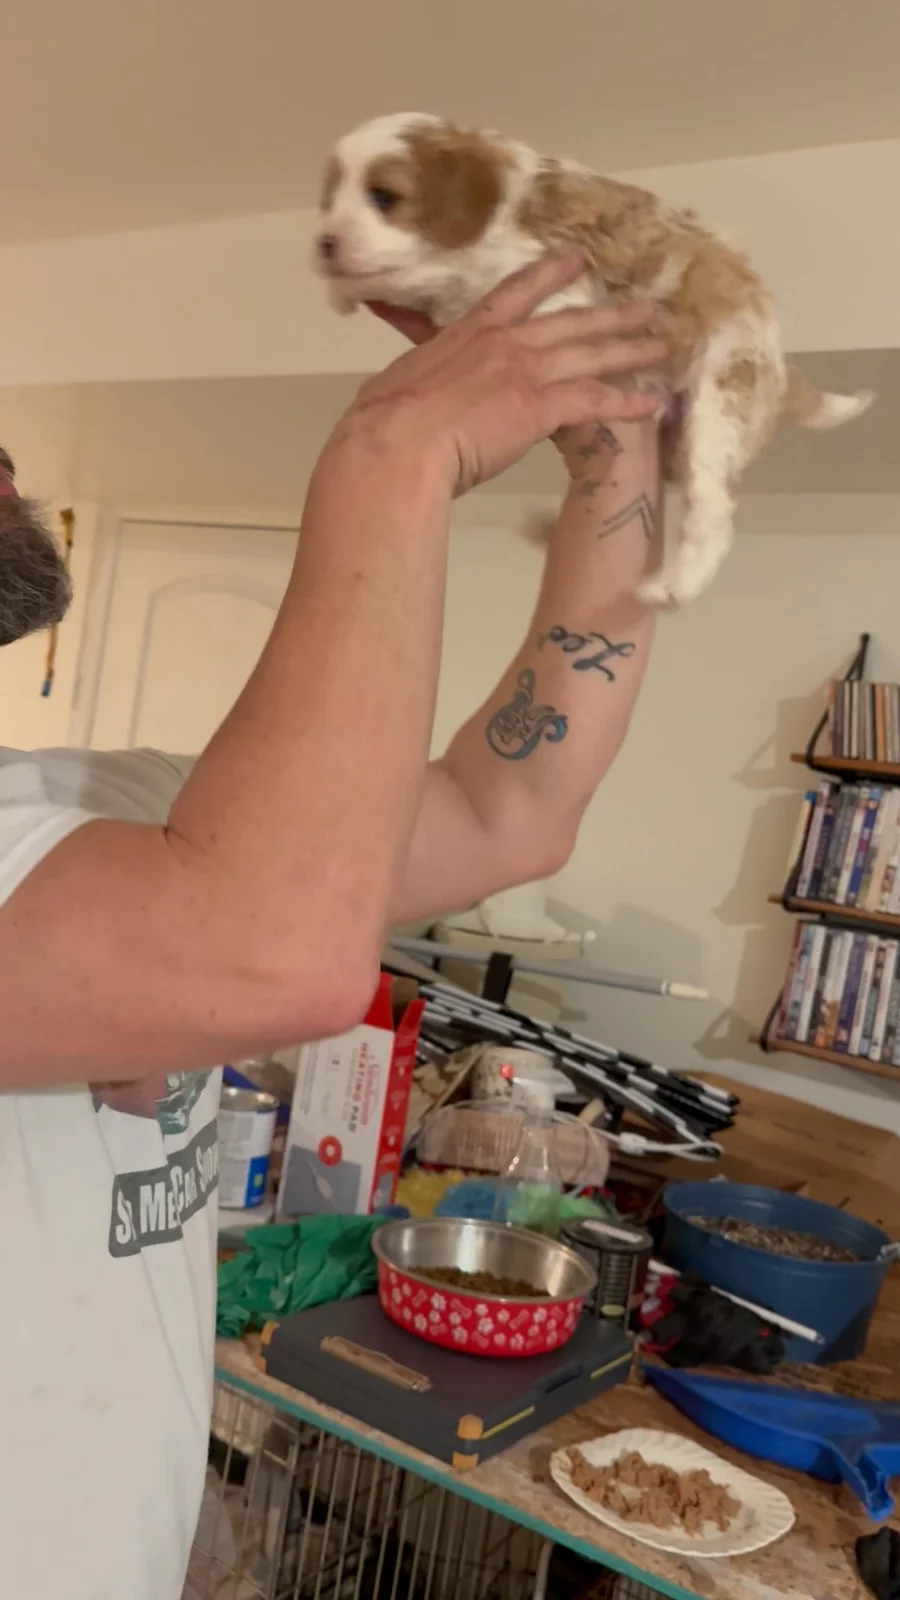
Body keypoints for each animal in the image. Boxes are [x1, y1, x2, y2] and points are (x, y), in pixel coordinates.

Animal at [315, 113, 873, 606]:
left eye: (384, 198)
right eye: (328, 202)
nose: (324, 243)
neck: (499, 205)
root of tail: (781, 368)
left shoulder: (541, 274)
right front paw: (342, 291)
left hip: (721, 396)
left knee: (713, 514)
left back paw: (673, 586)